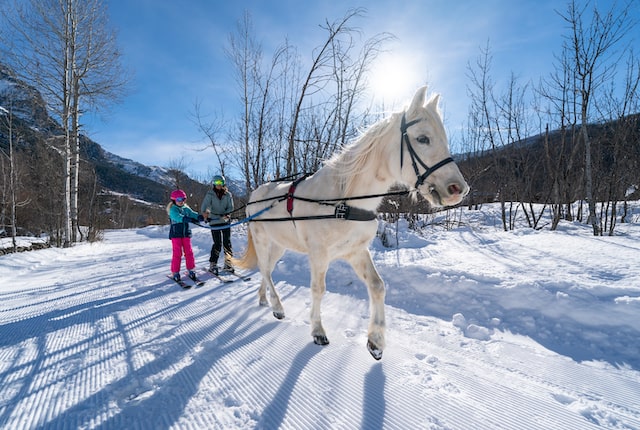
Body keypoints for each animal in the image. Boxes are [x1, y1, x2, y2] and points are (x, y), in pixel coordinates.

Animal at [235, 86, 470, 360]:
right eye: (423, 138)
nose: (458, 189)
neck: (344, 200)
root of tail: (254, 195)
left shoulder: (356, 251)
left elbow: (377, 286)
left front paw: (376, 341)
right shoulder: (319, 254)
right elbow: (318, 289)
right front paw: (318, 331)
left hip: (279, 245)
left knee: (267, 270)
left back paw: (265, 300)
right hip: (262, 240)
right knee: (265, 269)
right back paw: (278, 307)